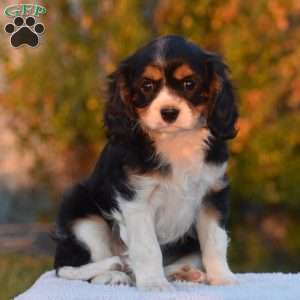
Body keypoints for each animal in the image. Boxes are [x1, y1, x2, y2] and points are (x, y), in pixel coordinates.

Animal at [53, 34, 237, 290]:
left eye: (189, 83)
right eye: (147, 86)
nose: (169, 112)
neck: (174, 140)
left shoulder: (212, 193)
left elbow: (215, 240)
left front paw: (222, 278)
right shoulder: (136, 199)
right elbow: (147, 248)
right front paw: (153, 284)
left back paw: (184, 272)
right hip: (82, 215)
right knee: (73, 268)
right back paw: (114, 274)